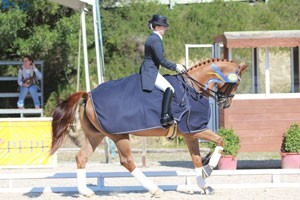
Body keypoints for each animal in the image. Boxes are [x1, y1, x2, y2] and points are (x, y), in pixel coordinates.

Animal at [48, 58, 246, 198]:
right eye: (236, 83)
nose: (225, 104)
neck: (193, 87)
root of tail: (89, 94)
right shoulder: (196, 129)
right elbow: (221, 141)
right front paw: (209, 169)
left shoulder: (190, 134)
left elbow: (196, 159)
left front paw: (203, 185)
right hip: (119, 135)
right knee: (127, 161)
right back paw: (155, 189)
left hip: (95, 135)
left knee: (81, 157)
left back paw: (86, 192)